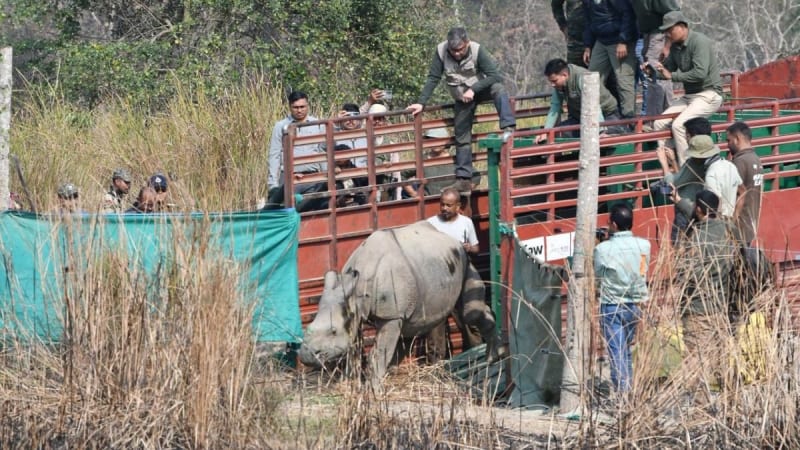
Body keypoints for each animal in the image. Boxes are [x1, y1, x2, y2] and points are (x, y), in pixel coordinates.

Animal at [298, 220, 499, 385]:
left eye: (333, 331)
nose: (306, 355)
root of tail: (451, 238)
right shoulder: (355, 311)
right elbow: (353, 351)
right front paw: (348, 384)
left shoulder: (391, 315)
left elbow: (378, 352)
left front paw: (373, 390)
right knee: (414, 326)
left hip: (465, 260)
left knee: (469, 313)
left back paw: (493, 358)